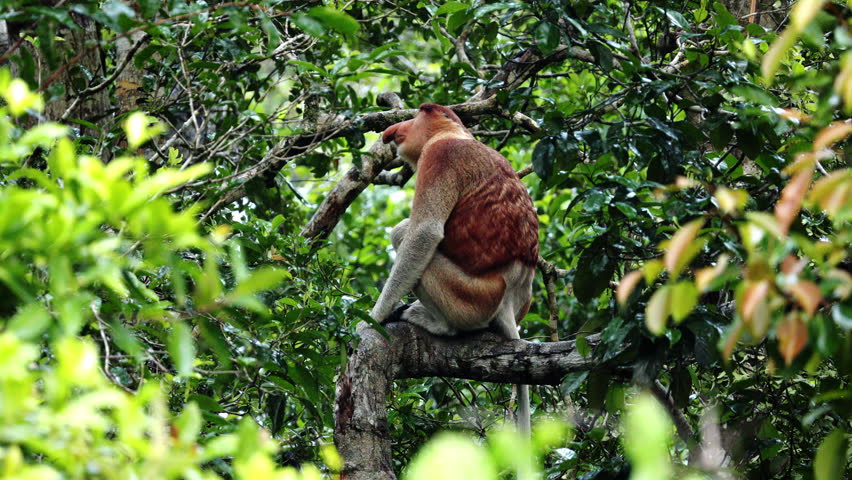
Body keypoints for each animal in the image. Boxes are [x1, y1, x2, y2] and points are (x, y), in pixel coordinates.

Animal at [370, 103, 539, 433]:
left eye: (416, 115)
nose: (394, 130)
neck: (455, 134)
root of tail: (510, 301)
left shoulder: (439, 157)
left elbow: (424, 232)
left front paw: (372, 319)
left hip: (472, 298)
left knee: (403, 232)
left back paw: (435, 323)